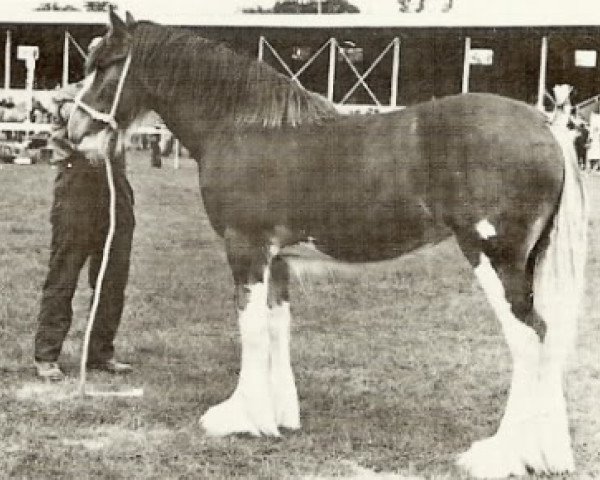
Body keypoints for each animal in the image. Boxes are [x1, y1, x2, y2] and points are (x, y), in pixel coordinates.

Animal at [67, 10, 584, 476]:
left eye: (106, 65)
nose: (74, 132)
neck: (242, 126)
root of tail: (545, 128)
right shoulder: (277, 259)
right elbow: (277, 328)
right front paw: (277, 416)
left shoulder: (246, 250)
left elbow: (251, 330)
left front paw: (238, 417)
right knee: (547, 339)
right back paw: (544, 453)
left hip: (493, 258)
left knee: (528, 339)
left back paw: (500, 455)